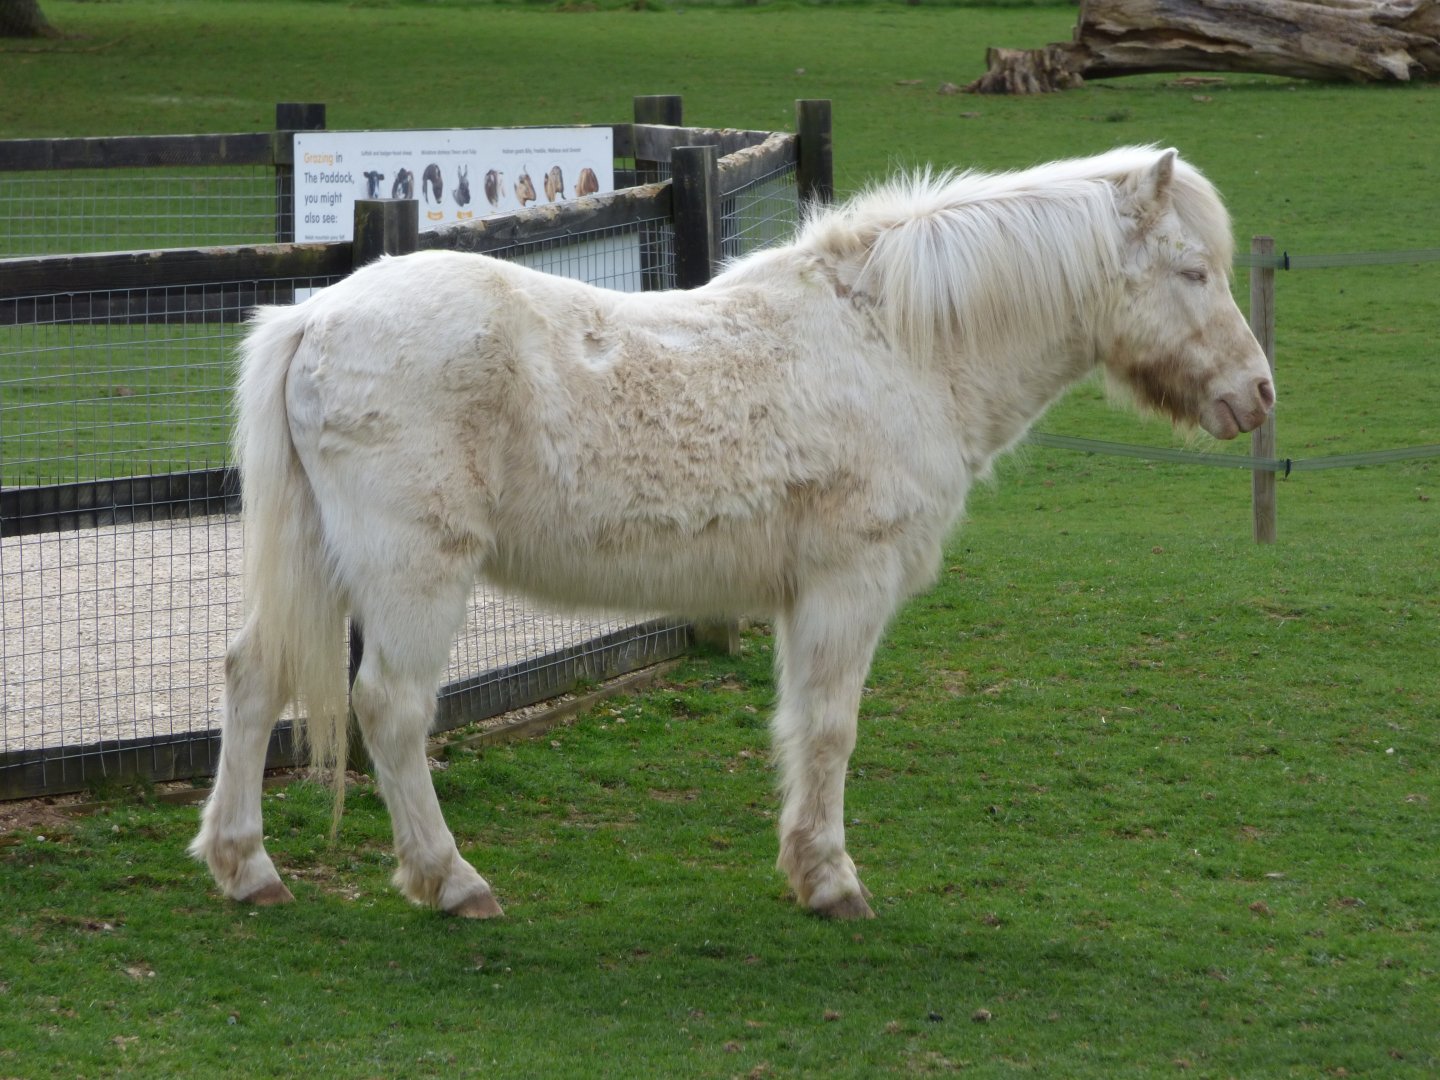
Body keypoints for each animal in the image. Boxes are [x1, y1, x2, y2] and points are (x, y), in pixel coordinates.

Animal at [191, 146, 1274, 921]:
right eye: (1192, 272)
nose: (1258, 394)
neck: (895, 344)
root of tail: (315, 316)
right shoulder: (847, 585)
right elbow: (831, 728)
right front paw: (831, 881)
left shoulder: (802, 599)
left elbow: (797, 725)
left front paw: (804, 865)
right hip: (412, 573)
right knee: (391, 708)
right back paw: (449, 880)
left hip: (324, 560)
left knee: (253, 675)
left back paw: (246, 866)